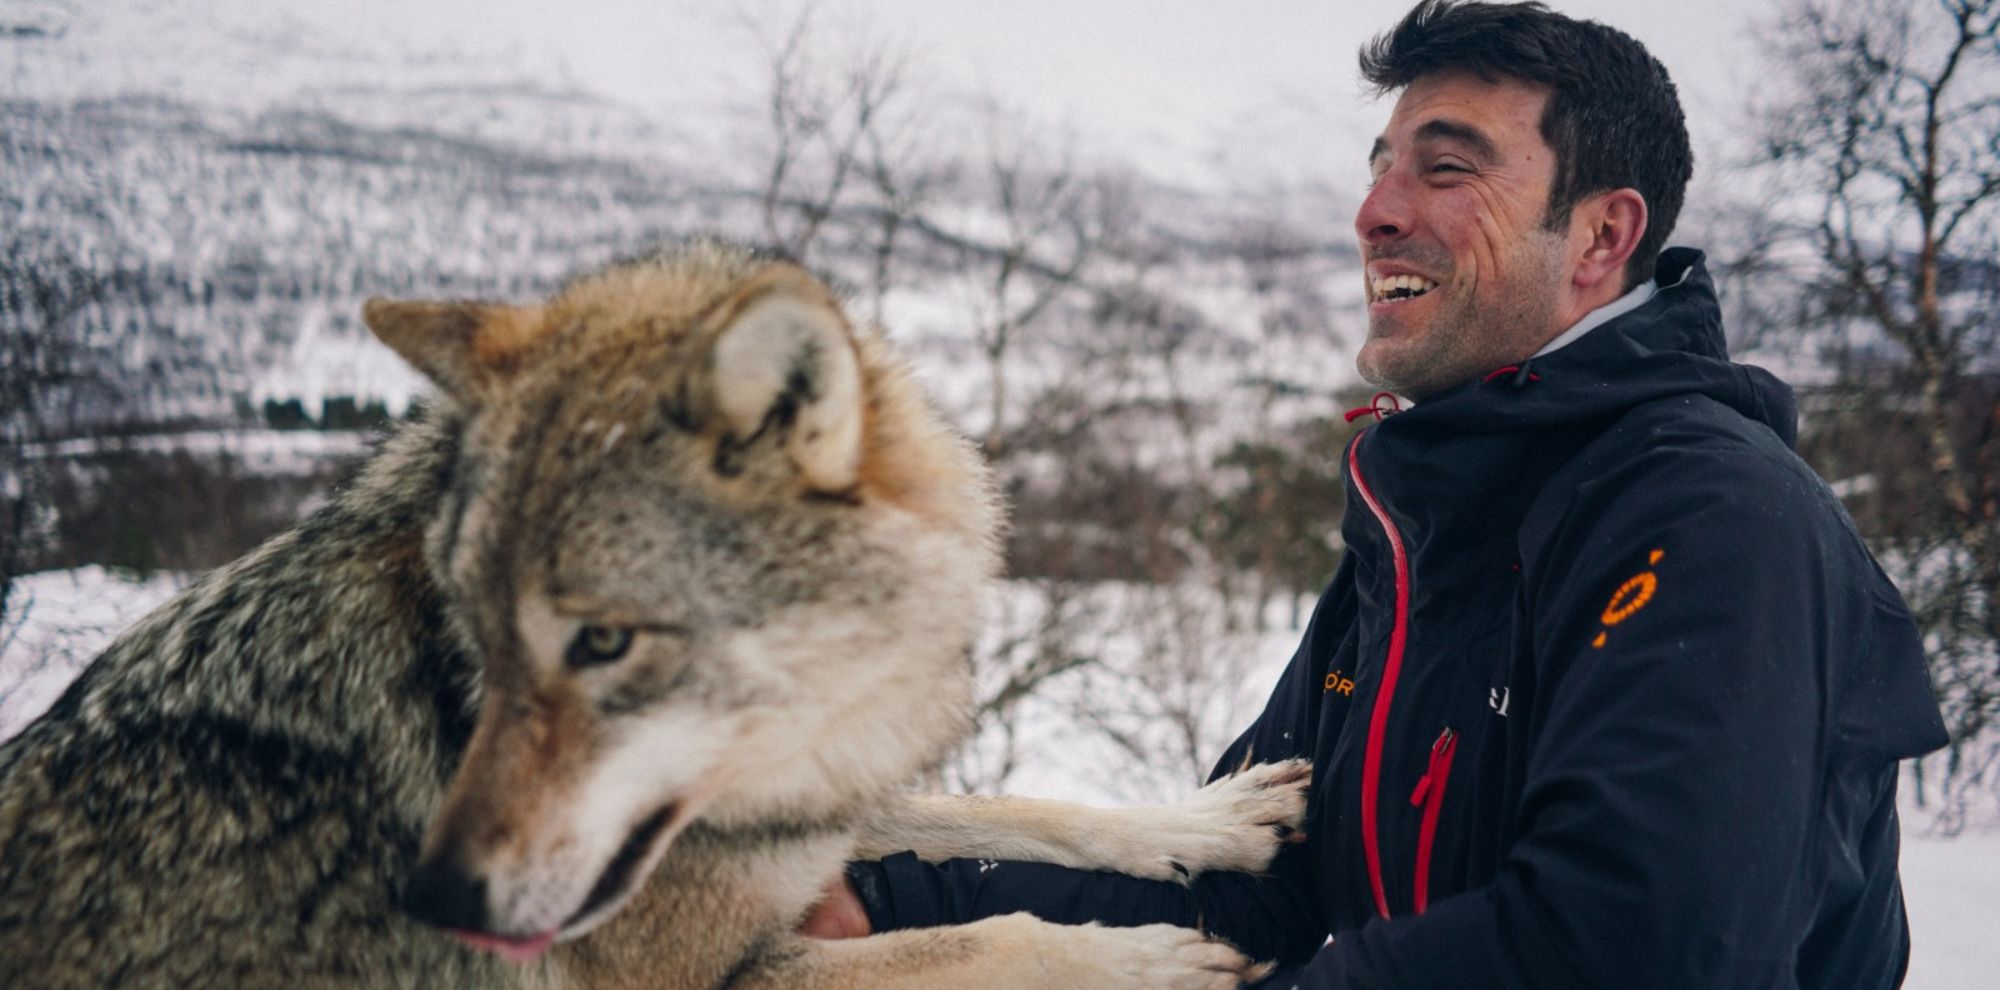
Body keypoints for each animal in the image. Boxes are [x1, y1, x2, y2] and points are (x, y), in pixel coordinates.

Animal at [0, 242, 1307, 989]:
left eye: (603, 642)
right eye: (480, 639)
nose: (437, 902)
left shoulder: (812, 808)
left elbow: (1013, 814)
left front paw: (1210, 824)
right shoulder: (698, 975)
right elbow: (977, 937)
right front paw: (1140, 959)